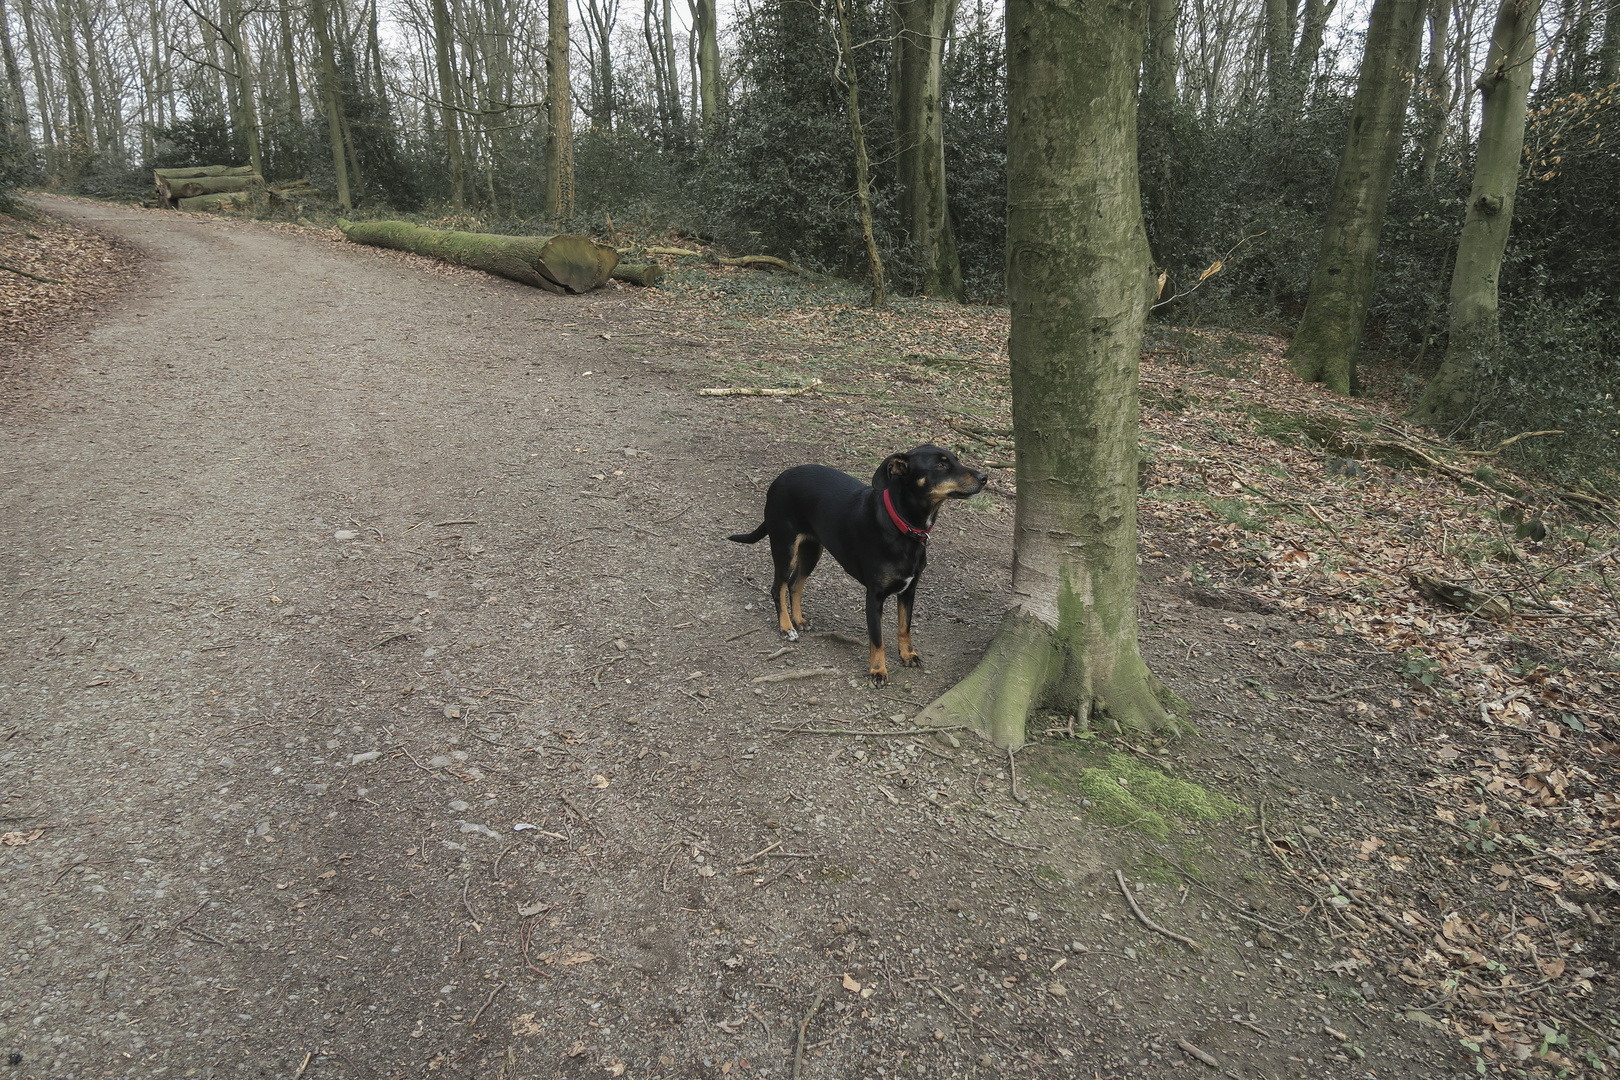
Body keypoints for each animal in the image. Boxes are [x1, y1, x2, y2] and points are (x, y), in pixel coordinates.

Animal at [725, 446, 978, 683]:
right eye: (940, 466)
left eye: (955, 459)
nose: (983, 476)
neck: (901, 526)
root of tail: (779, 478)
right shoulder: (874, 596)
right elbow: (877, 639)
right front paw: (878, 671)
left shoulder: (909, 590)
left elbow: (904, 627)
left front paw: (908, 655)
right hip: (785, 548)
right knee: (778, 587)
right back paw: (787, 627)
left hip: (812, 550)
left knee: (796, 584)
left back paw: (799, 620)